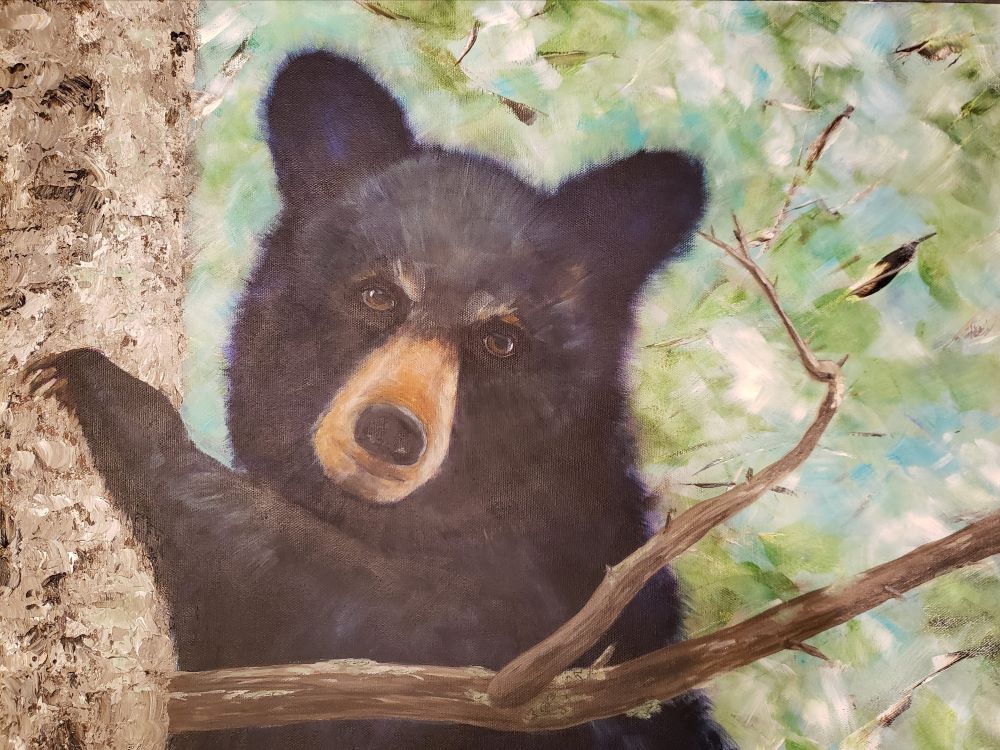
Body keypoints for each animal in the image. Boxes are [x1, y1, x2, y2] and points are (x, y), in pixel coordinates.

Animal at [25, 51, 736, 749]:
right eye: (378, 294)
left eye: (501, 339)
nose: (390, 431)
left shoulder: (550, 625)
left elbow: (368, 613)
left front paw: (105, 387)